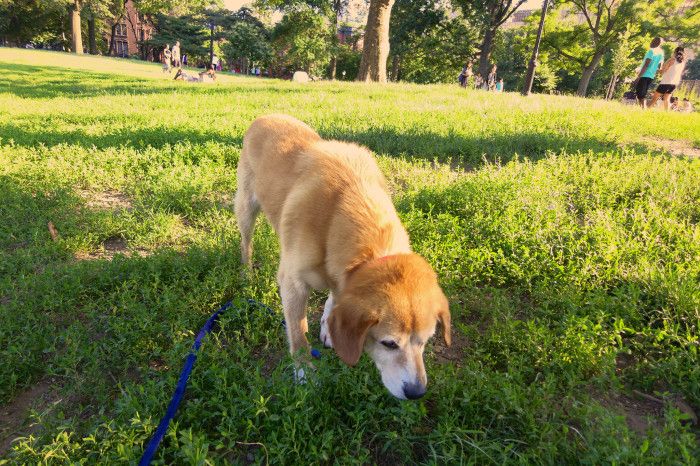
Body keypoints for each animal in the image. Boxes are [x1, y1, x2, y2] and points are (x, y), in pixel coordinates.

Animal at [237, 114, 454, 398]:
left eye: (426, 341)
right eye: (388, 343)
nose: (417, 392)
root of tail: (266, 116)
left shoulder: (340, 275)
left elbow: (333, 298)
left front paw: (329, 329)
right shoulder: (293, 284)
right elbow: (298, 332)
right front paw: (304, 370)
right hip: (245, 207)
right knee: (246, 242)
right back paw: (246, 272)